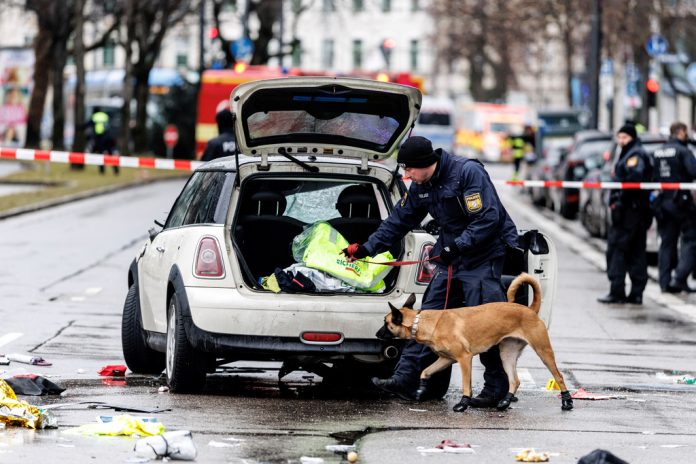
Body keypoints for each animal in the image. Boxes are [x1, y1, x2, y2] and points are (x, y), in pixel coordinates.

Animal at [378, 274, 572, 412]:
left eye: (385, 323)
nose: (377, 334)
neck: (423, 322)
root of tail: (529, 309)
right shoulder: (446, 359)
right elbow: (425, 372)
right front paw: (421, 389)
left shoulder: (465, 358)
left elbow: (466, 384)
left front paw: (463, 403)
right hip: (507, 355)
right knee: (515, 380)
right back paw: (505, 401)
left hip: (543, 351)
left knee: (559, 376)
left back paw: (567, 401)